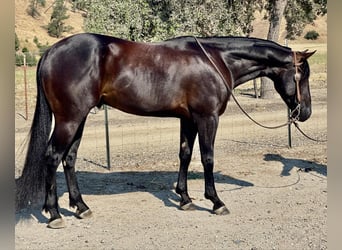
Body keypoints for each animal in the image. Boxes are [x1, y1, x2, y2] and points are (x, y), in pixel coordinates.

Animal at [16, 33, 316, 229]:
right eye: (303, 75)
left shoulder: (189, 119)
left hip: (79, 119)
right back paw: (54, 214)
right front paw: (216, 201)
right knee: (52, 157)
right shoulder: (207, 118)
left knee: (69, 158)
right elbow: (207, 158)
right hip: (69, 119)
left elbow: (185, 154)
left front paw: (184, 198)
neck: (216, 60)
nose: (305, 113)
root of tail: (51, 52)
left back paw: (81, 207)